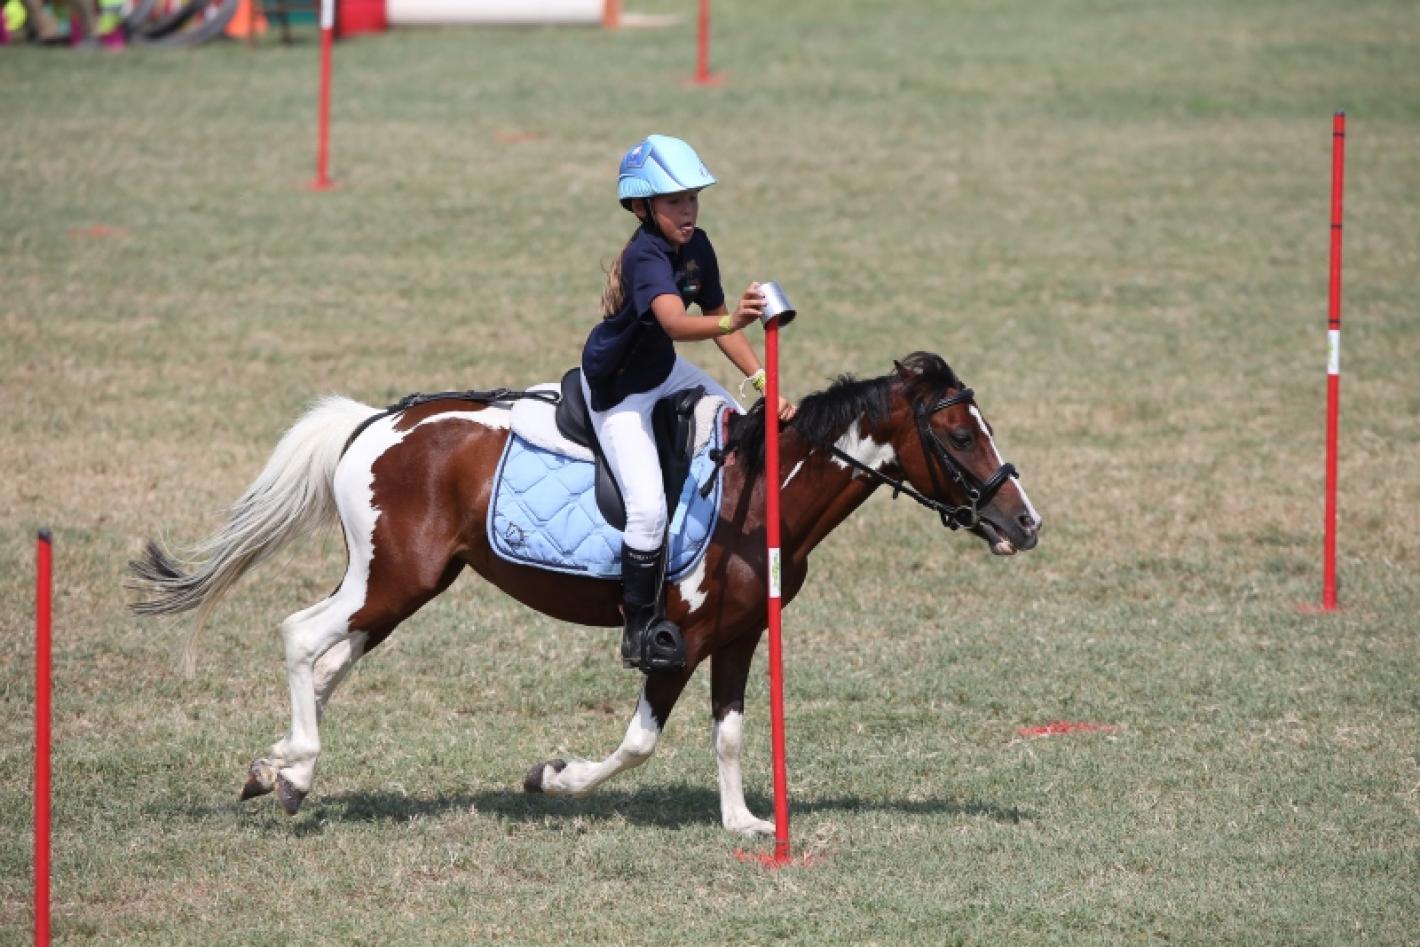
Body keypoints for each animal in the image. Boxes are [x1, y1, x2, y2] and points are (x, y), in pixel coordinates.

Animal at [127, 352, 1039, 834]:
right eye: (960, 433)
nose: (1026, 523)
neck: (760, 493)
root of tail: (376, 423)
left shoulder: (740, 636)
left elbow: (731, 733)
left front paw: (744, 824)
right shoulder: (676, 639)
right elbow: (636, 744)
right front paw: (551, 776)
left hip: (395, 589)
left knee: (327, 662)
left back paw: (279, 771)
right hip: (389, 580)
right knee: (298, 636)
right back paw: (296, 765)